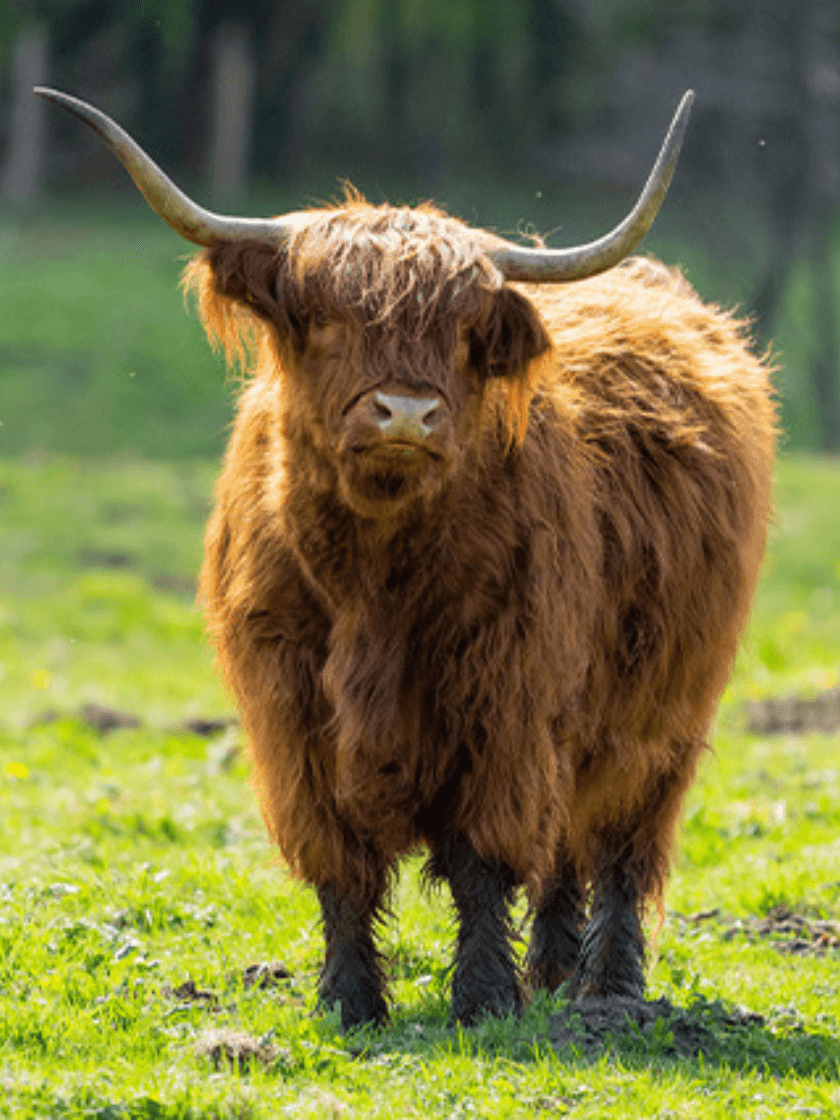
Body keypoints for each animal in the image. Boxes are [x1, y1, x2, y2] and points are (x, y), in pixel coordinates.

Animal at [36, 87, 775, 1029]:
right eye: (323, 317)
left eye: (463, 332)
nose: (405, 413)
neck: (375, 582)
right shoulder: (293, 716)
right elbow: (342, 869)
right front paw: (349, 1002)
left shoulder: (506, 702)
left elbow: (482, 860)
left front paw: (485, 999)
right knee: (565, 848)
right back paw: (555, 973)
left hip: (663, 711)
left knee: (618, 844)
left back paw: (609, 991)